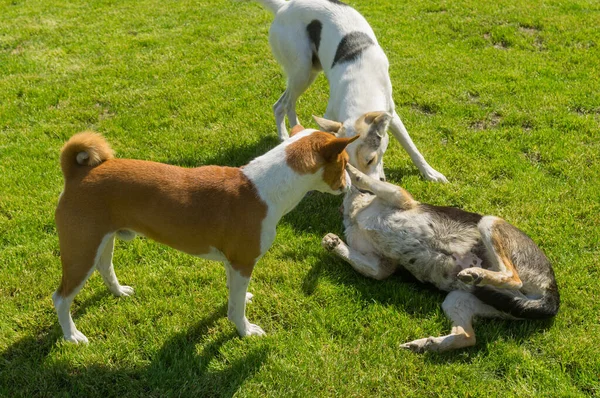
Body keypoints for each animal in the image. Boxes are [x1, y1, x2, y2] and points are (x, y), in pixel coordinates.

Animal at [52, 126, 356, 342]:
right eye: (345, 163)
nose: (351, 185)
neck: (265, 188)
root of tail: (77, 175)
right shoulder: (244, 262)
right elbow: (236, 309)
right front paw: (244, 330)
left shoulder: (234, 263)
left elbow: (234, 296)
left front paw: (238, 304)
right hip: (80, 252)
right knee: (61, 298)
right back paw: (72, 335)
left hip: (101, 241)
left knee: (105, 267)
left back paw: (118, 292)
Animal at [253, 0, 446, 183]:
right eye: (349, 163)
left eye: (370, 159)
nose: (367, 191)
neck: (362, 86)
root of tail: (283, 7)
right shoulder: (330, 116)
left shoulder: (391, 115)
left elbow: (412, 148)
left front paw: (431, 173)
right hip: (302, 70)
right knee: (283, 104)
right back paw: (287, 136)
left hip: (309, 71)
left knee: (283, 104)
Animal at [322, 159, 560, 352]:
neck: (357, 212)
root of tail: (552, 293)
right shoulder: (380, 265)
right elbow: (359, 261)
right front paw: (333, 243)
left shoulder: (399, 196)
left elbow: (367, 180)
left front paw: (352, 169)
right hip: (458, 299)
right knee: (468, 336)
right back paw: (427, 345)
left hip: (489, 222)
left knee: (512, 277)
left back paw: (477, 274)